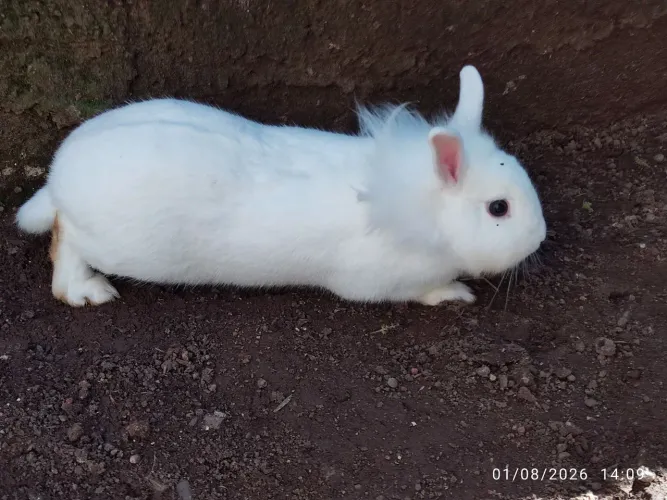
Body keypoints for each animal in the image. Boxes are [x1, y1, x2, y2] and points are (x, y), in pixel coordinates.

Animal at [15, 65, 547, 308]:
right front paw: (455, 293)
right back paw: (88, 291)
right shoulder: (380, 282)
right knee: (64, 240)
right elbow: (423, 290)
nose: (540, 236)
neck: (420, 207)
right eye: (498, 208)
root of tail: (59, 176)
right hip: (110, 242)